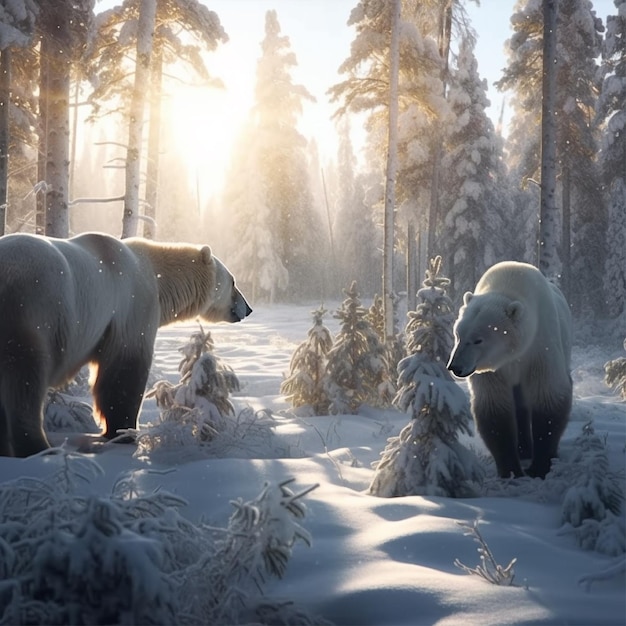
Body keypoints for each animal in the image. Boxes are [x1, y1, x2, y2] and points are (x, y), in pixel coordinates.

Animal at [0, 232, 251, 456]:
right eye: (233, 281)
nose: (247, 308)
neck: (156, 275)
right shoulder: (132, 307)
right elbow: (124, 371)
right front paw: (124, 433)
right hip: (33, 308)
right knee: (25, 381)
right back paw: (39, 447)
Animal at [444, 258, 572, 478]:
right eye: (458, 334)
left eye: (478, 340)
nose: (455, 367)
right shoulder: (493, 369)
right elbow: (495, 406)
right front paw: (511, 470)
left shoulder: (539, 348)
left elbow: (548, 397)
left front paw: (539, 467)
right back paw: (523, 449)